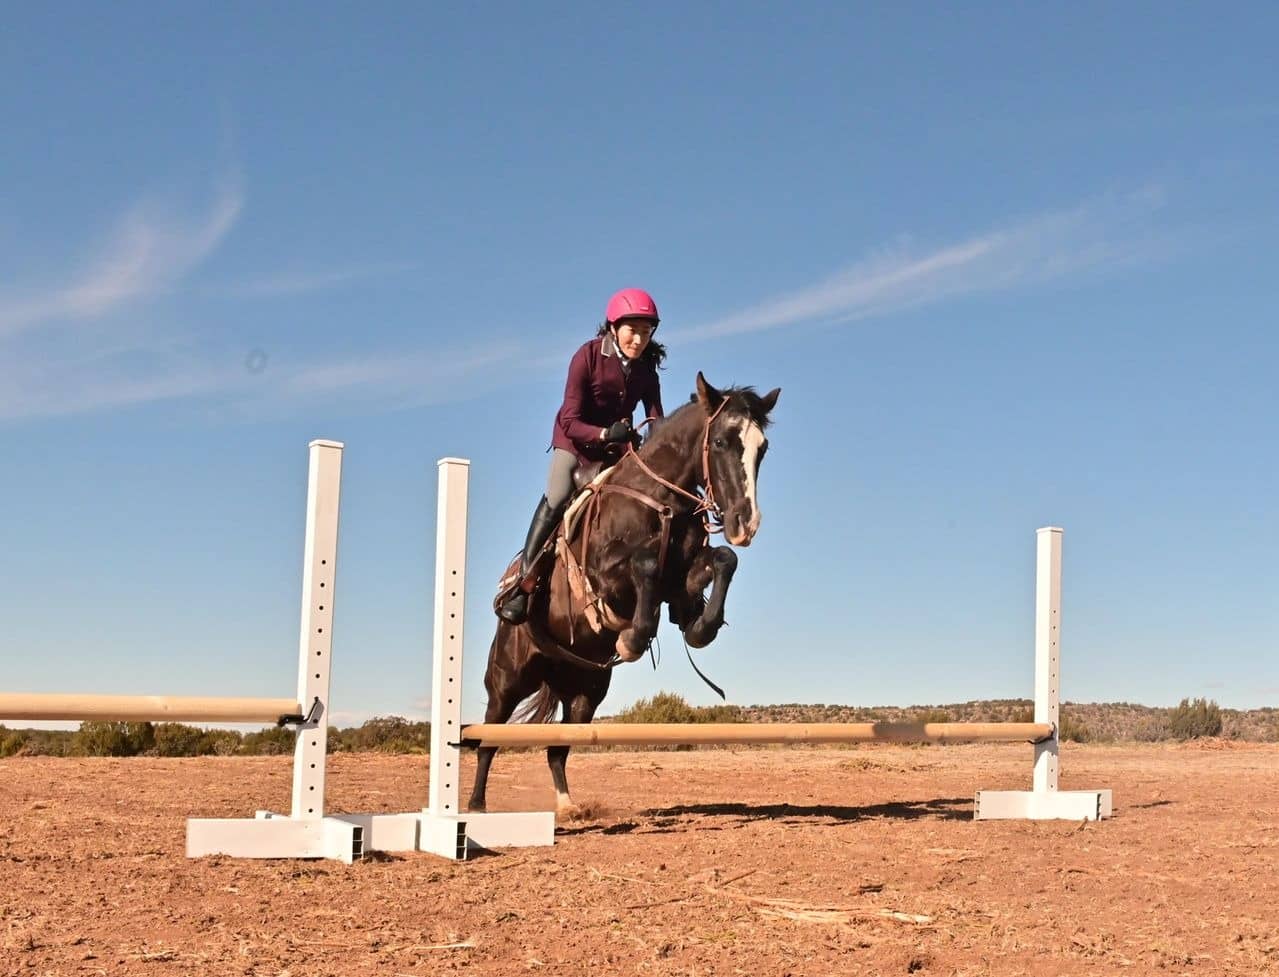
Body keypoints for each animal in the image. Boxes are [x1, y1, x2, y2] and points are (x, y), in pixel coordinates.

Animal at [470, 370, 777, 813]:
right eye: (720, 442)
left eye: (762, 449)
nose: (745, 524)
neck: (662, 499)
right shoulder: (604, 575)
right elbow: (644, 563)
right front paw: (633, 639)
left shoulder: (680, 579)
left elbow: (722, 561)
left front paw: (700, 628)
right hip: (508, 678)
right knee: (488, 737)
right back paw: (476, 806)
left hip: (586, 691)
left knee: (558, 748)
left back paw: (567, 805)